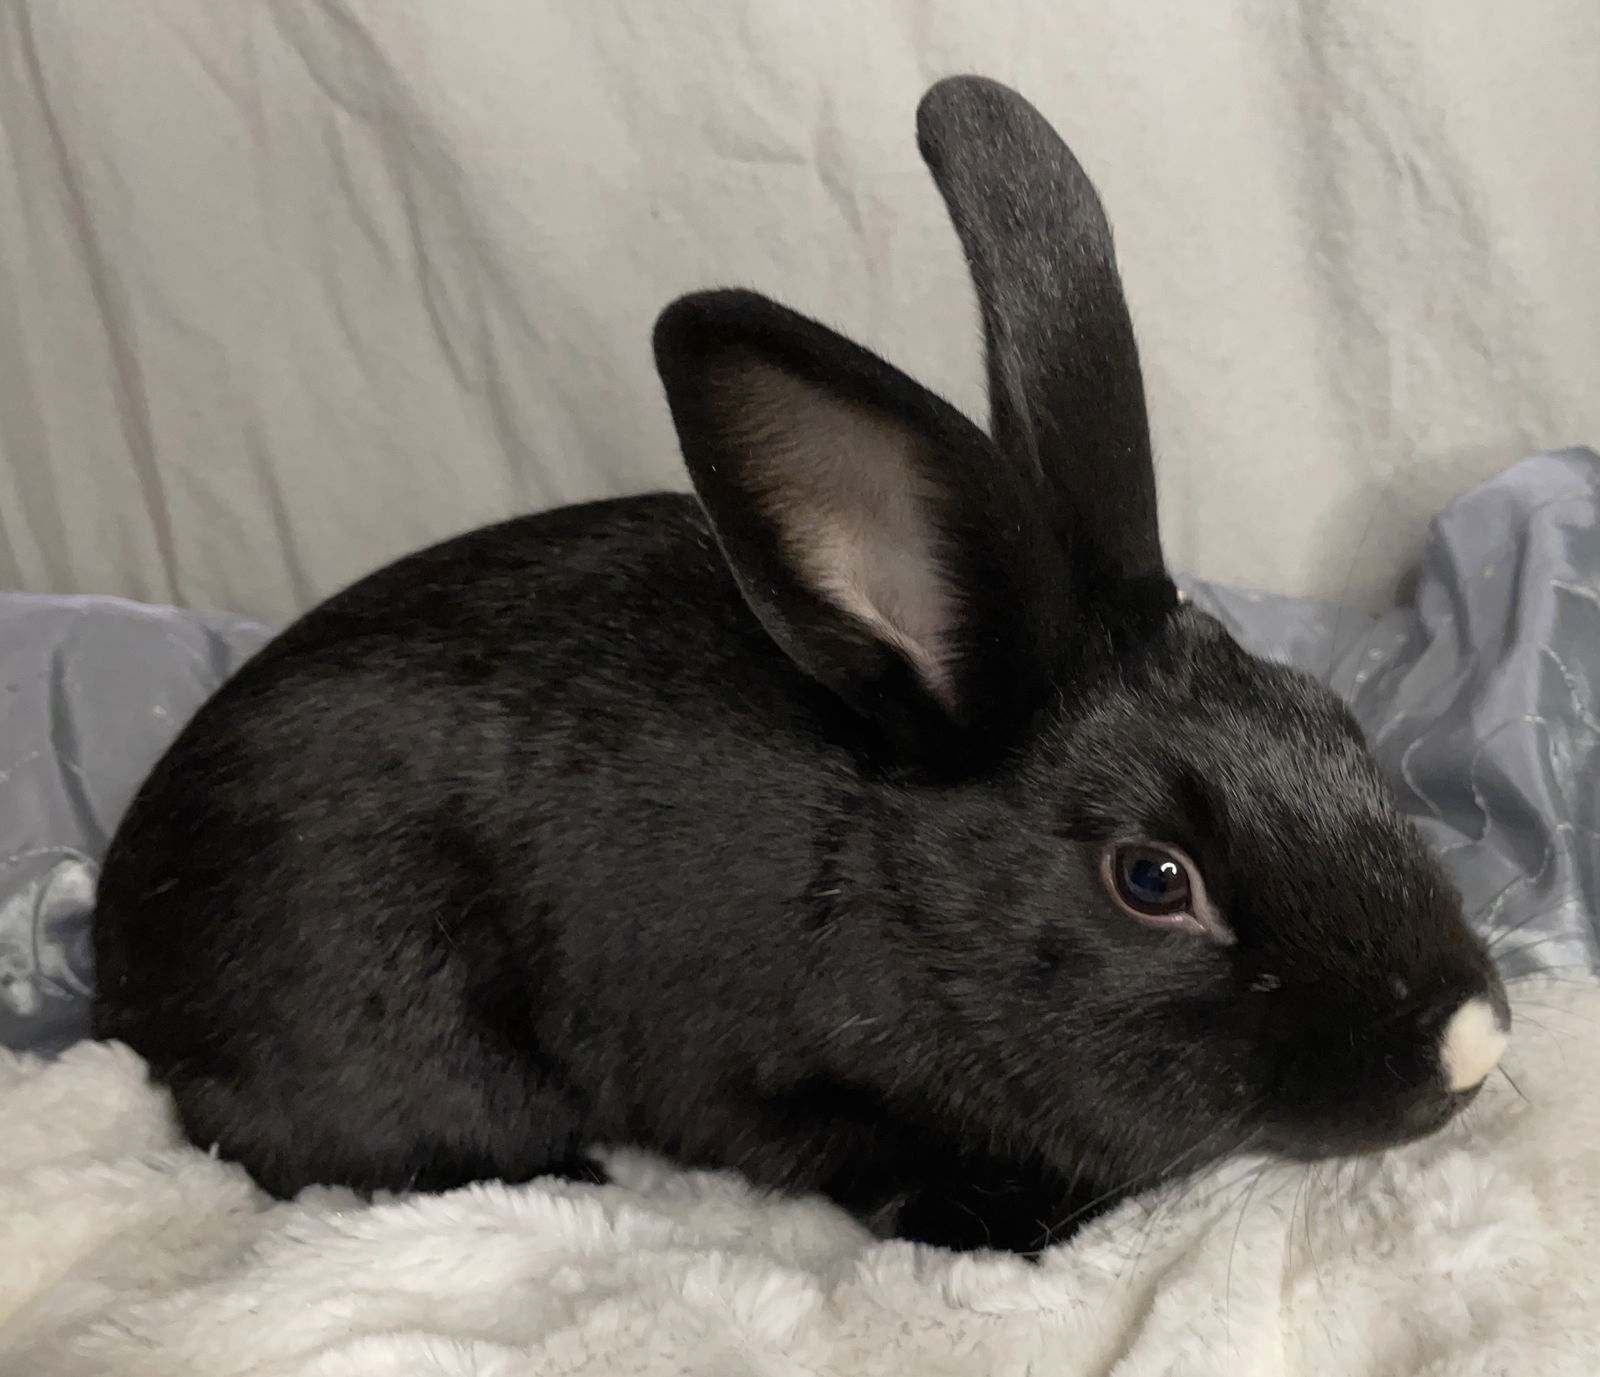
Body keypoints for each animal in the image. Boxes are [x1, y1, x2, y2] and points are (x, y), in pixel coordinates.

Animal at [90, 77, 1510, 1260]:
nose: (1469, 1042)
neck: (905, 896)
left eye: (1337, 724)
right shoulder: (763, 1081)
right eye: (1153, 880)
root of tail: (116, 966)